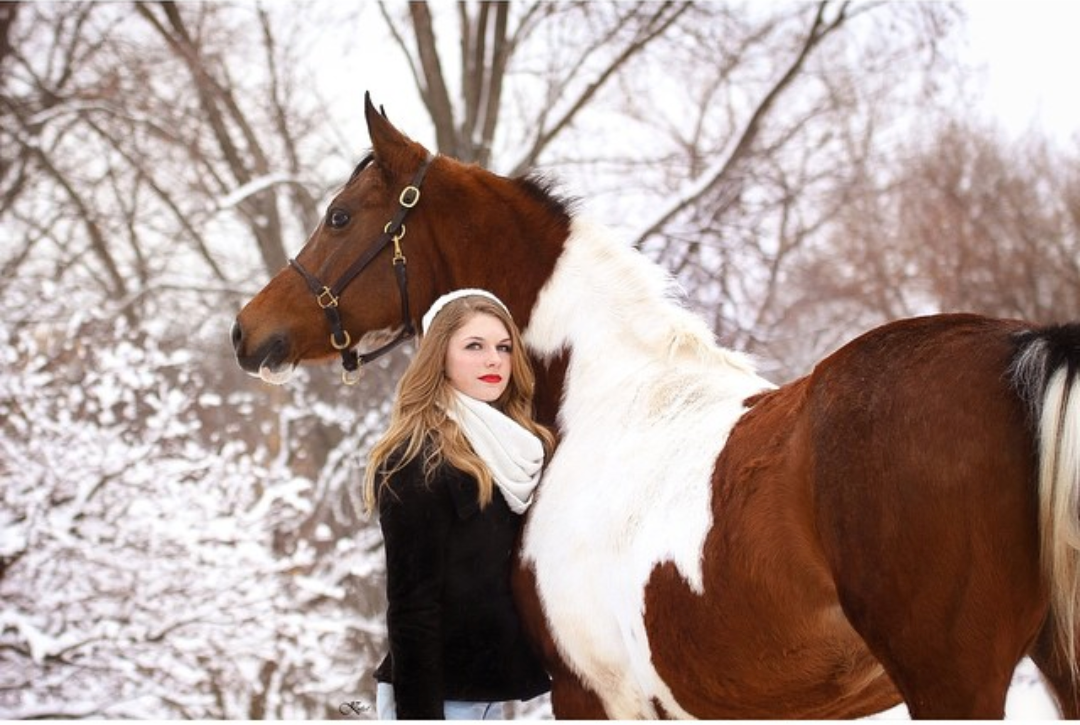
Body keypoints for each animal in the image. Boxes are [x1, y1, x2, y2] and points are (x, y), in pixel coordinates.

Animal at [231, 95, 1080, 718]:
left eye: (340, 216)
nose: (247, 331)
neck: (600, 397)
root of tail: (1026, 350)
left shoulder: (589, 696)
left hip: (951, 683)